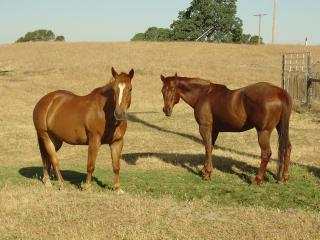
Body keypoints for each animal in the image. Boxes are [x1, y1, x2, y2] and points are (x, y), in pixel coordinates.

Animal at [160, 73, 292, 184]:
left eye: (172, 89)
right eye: (162, 91)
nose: (166, 110)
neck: (203, 95)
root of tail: (280, 93)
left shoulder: (204, 127)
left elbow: (207, 148)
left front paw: (207, 174)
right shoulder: (214, 130)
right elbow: (210, 148)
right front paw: (205, 170)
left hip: (263, 131)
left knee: (266, 153)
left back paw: (257, 180)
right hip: (281, 128)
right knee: (287, 148)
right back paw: (284, 177)